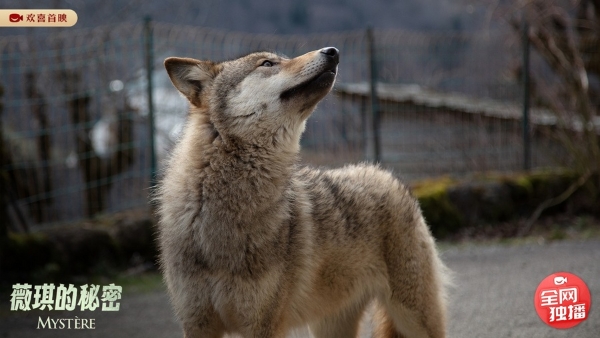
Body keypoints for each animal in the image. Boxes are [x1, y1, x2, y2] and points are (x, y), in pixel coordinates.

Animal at [157, 45, 448, 338]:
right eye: (267, 63)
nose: (333, 51)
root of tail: (385, 175)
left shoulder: (264, 325)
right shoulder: (197, 323)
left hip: (414, 319)